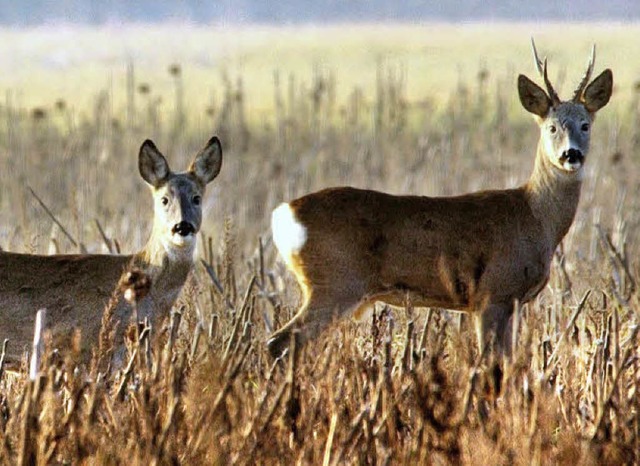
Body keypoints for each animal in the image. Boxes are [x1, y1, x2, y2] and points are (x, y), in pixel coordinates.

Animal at [268, 41, 612, 358]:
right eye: (552, 127)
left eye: (585, 125)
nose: (571, 154)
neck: (535, 217)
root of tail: (285, 213)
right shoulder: (493, 293)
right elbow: (490, 361)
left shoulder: (511, 301)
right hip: (334, 283)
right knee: (279, 342)